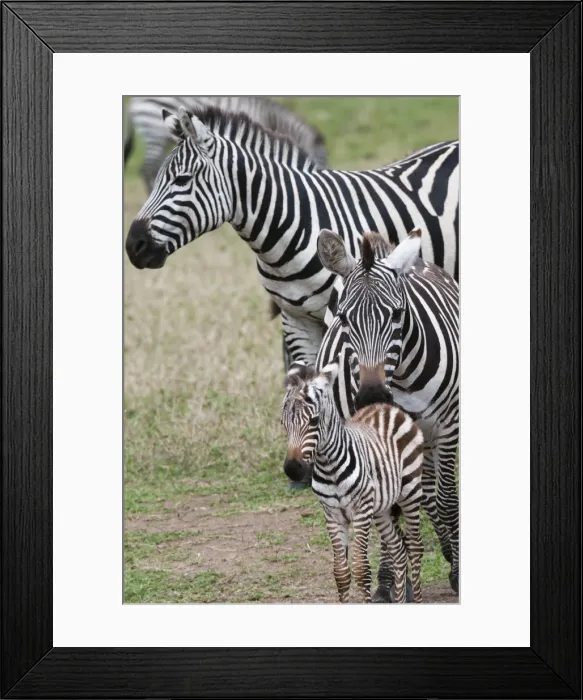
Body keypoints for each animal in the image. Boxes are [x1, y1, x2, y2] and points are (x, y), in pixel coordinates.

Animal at [281, 361, 424, 603]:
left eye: (314, 421)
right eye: (283, 423)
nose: (292, 469)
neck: (329, 466)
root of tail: (384, 406)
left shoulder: (360, 511)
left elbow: (361, 569)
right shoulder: (332, 514)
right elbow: (340, 572)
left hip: (410, 492)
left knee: (415, 548)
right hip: (381, 508)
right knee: (398, 549)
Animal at [315, 228, 459, 595]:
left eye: (396, 314)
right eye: (344, 318)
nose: (372, 394)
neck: (402, 380)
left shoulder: (448, 427)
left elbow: (447, 499)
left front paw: (457, 572)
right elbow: (389, 507)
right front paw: (387, 582)